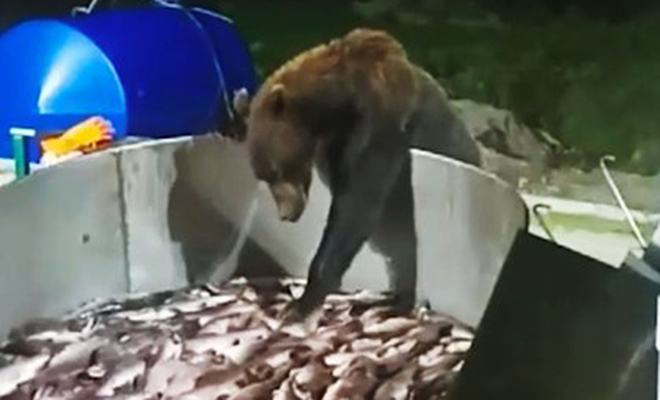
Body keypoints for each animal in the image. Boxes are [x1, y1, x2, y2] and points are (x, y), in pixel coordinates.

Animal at [229, 28, 482, 323]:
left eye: (278, 169)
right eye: (264, 176)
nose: (285, 214)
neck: (339, 103)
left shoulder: (379, 121)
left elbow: (357, 207)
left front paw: (302, 302)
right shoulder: (334, 147)